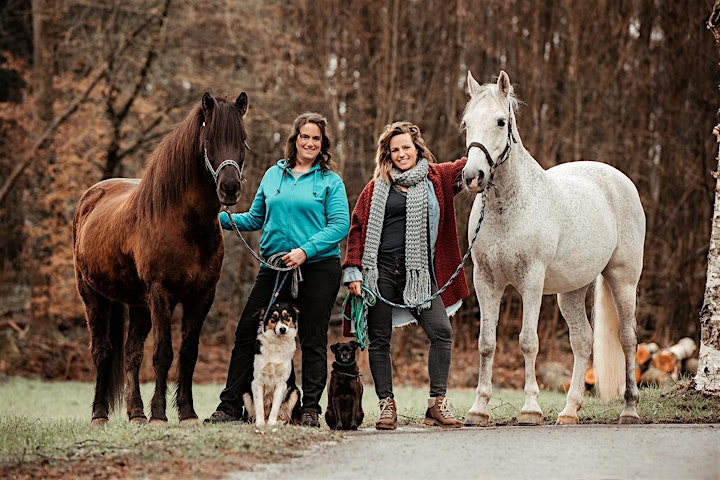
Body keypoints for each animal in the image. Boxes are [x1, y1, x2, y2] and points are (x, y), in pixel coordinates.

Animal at [72, 92, 249, 422]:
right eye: (209, 139)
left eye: (242, 140)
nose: (230, 188)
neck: (183, 222)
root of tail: (91, 196)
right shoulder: (161, 293)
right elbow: (163, 354)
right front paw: (159, 413)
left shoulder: (202, 296)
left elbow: (188, 354)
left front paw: (187, 413)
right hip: (93, 296)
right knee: (102, 351)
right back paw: (100, 414)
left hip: (138, 304)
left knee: (131, 354)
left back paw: (136, 413)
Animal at [462, 70, 648, 424]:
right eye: (466, 123)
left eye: (500, 122)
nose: (473, 175)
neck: (509, 207)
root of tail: (619, 180)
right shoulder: (485, 280)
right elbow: (486, 343)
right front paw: (478, 409)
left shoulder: (531, 281)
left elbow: (528, 342)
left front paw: (530, 409)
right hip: (571, 291)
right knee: (582, 340)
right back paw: (570, 410)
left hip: (623, 279)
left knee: (627, 339)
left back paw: (630, 409)